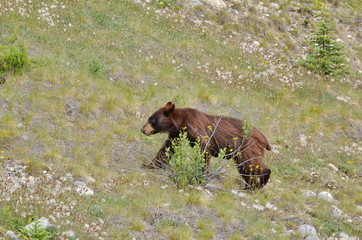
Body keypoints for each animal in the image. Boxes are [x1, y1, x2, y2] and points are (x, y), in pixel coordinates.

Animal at [142, 101, 272, 189]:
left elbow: (204, 148)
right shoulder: (176, 134)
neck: (181, 123)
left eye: (152, 120)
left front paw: (198, 177)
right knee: (246, 167)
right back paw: (249, 185)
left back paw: (256, 185)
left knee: (251, 164)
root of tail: (265, 139)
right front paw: (149, 165)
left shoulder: (195, 126)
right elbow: (167, 148)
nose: (142, 130)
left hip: (247, 147)